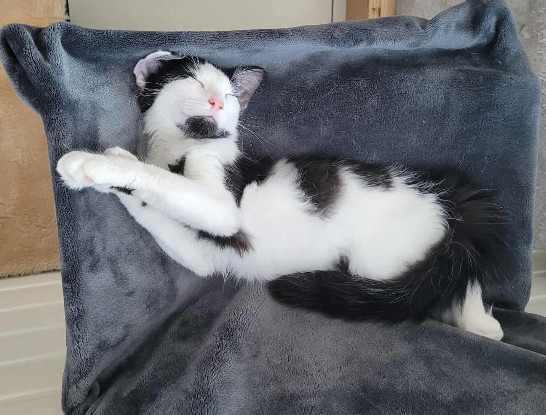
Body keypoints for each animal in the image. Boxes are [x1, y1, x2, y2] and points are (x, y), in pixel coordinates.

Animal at [57, 50, 506, 340]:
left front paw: (92, 163)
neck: (183, 148)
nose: (218, 102)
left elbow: (165, 183)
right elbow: (153, 205)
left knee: (442, 286)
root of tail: (448, 199)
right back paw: (481, 322)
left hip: (383, 259)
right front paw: (106, 170)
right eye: (195, 81)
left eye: (232, 96)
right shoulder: (201, 254)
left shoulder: (222, 205)